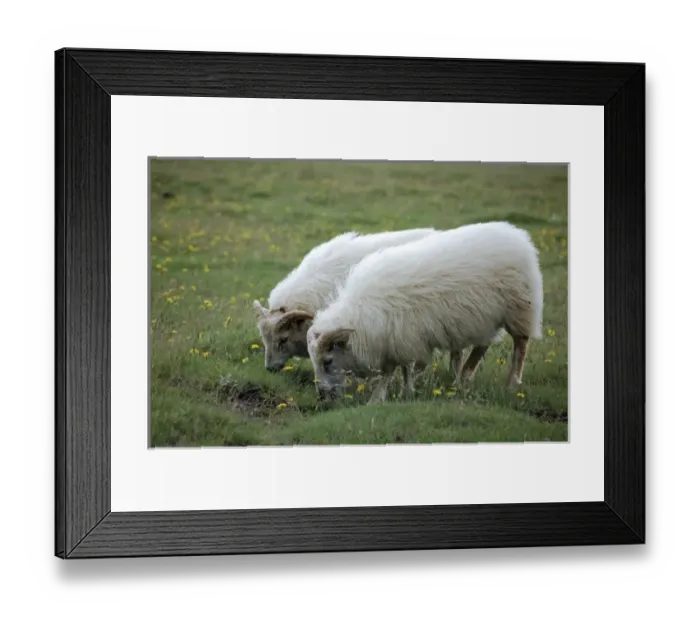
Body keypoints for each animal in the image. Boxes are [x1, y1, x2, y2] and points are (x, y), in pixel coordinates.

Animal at [306, 221, 544, 403]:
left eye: (327, 361)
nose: (321, 397)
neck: (360, 315)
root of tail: (517, 235)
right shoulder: (400, 337)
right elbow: (403, 368)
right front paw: (402, 392)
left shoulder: (402, 337)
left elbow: (396, 370)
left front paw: (385, 396)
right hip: (486, 317)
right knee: (482, 345)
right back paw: (464, 377)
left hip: (519, 308)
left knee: (520, 345)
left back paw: (512, 383)